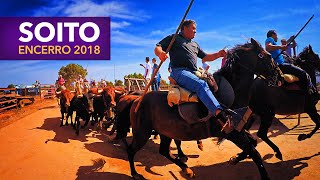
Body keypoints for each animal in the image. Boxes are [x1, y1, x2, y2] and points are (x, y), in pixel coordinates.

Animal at [126, 38, 276, 180]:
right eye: (266, 55)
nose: (277, 76)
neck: (232, 89)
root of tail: (137, 100)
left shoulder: (240, 129)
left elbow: (253, 144)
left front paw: (235, 159)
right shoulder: (233, 133)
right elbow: (255, 153)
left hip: (165, 132)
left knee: (163, 151)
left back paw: (187, 169)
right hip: (142, 133)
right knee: (131, 150)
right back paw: (135, 173)